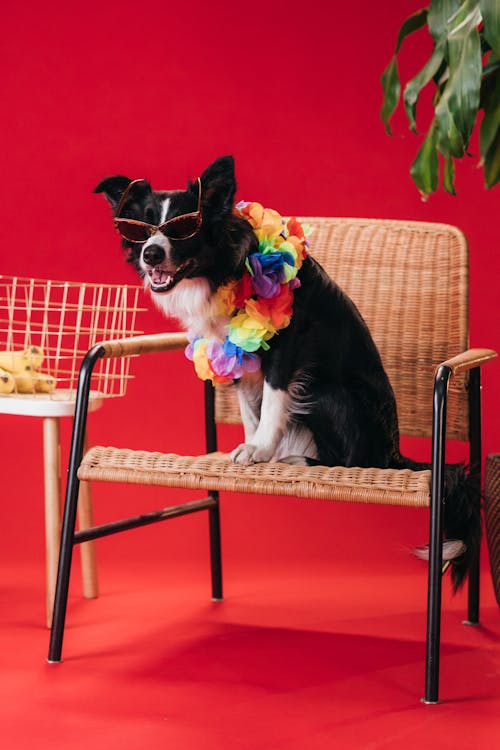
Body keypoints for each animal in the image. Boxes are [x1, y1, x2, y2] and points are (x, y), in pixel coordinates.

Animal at [94, 153, 480, 588]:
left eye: (182, 228)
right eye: (141, 230)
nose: (152, 254)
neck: (221, 272)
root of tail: (395, 453)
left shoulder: (286, 347)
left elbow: (273, 402)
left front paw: (261, 449)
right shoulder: (236, 355)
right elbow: (251, 409)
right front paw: (250, 446)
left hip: (329, 393)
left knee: (355, 460)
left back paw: (299, 461)